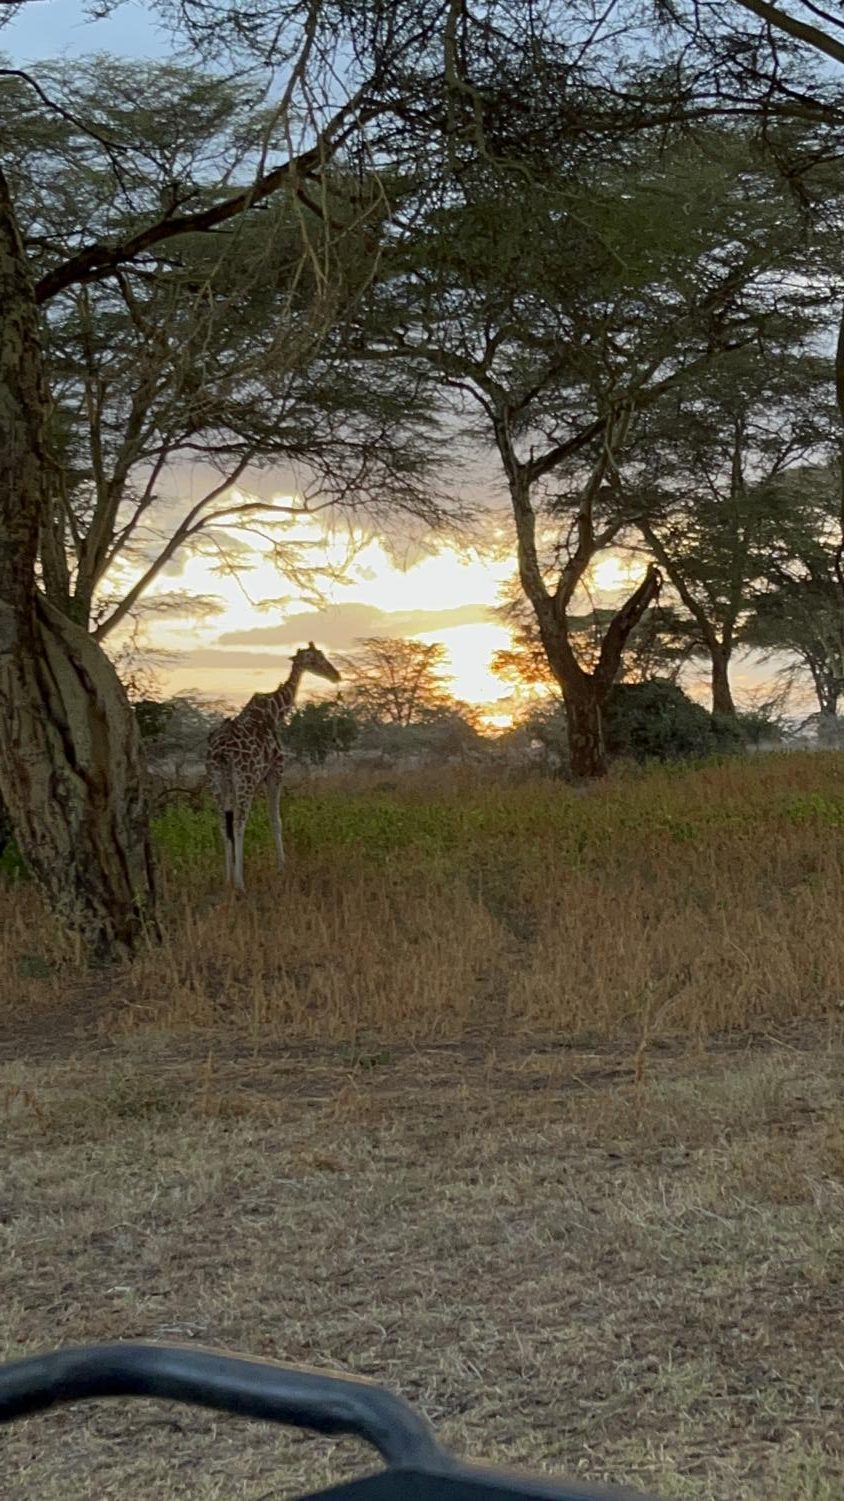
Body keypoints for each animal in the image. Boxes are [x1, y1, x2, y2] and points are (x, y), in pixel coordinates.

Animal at [205, 642, 337, 888]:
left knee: (222, 823)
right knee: (238, 822)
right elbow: (276, 820)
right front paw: (282, 867)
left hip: (216, 780)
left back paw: (228, 880)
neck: (275, 712)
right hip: (245, 779)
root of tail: (221, 753)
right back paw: (240, 883)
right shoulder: (276, 771)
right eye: (316, 658)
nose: (336, 674)